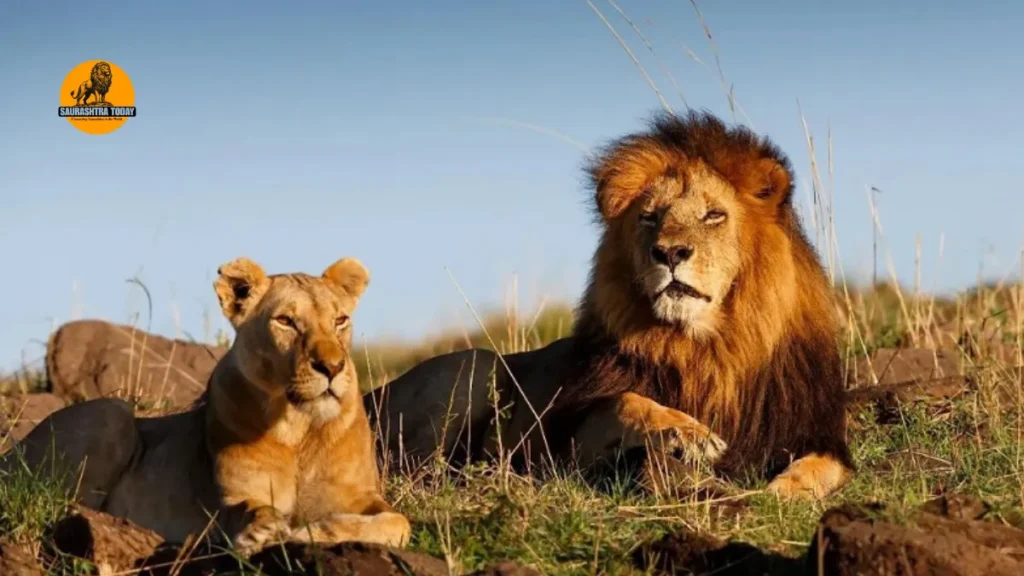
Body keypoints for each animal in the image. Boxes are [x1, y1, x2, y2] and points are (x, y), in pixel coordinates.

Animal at [1, 257, 410, 555]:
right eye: (285, 321)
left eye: (340, 320)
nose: (333, 367)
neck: (299, 428)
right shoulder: (230, 499)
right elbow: (247, 509)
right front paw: (262, 530)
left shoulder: (362, 497)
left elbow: (399, 523)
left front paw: (317, 530)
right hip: (110, 412)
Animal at [365, 110, 854, 499]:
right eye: (650, 217)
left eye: (714, 215)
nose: (669, 252)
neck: (706, 348)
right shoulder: (569, 441)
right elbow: (626, 400)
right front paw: (688, 433)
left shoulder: (813, 432)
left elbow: (823, 467)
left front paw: (782, 492)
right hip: (475, 364)